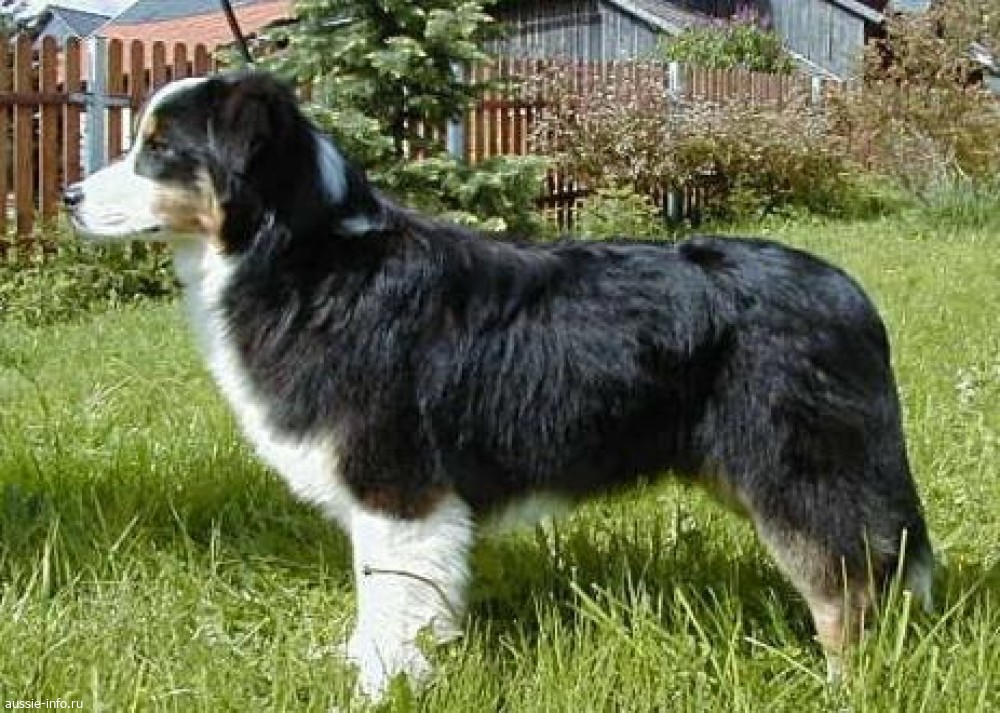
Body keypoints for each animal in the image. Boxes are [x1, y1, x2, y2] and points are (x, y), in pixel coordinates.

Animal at [65, 71, 933, 699]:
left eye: (157, 149)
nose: (69, 197)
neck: (306, 258)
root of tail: (850, 295)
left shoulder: (401, 490)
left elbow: (394, 606)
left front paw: (381, 688)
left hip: (797, 469)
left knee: (847, 589)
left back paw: (842, 687)